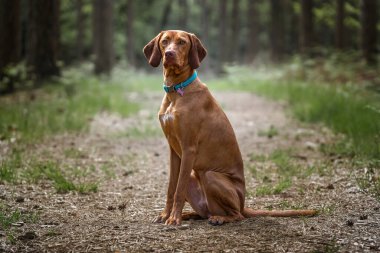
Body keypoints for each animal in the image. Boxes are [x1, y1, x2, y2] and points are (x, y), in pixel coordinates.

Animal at [142, 30, 314, 225]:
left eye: (182, 42)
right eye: (164, 42)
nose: (169, 54)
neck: (176, 91)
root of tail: (243, 204)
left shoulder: (188, 148)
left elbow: (179, 189)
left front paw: (173, 219)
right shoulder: (174, 150)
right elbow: (172, 187)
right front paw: (166, 215)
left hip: (211, 175)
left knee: (236, 215)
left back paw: (218, 218)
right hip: (195, 178)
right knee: (204, 212)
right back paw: (190, 214)